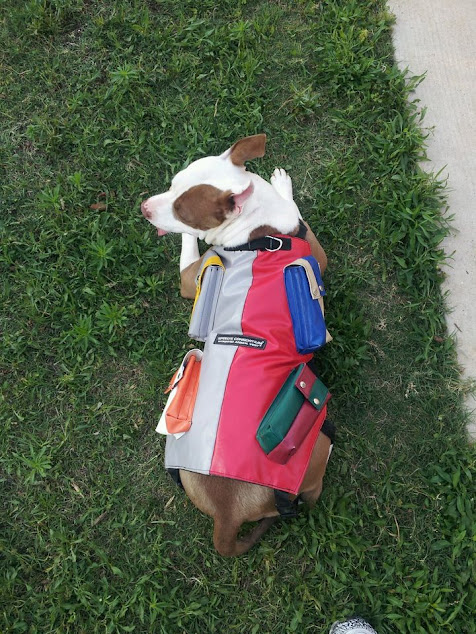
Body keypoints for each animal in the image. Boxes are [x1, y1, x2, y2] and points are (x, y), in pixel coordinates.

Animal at [141, 133, 330, 552]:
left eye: (182, 210)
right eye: (172, 184)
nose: (144, 208)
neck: (260, 232)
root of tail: (228, 517)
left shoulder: (191, 274)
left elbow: (189, 243)